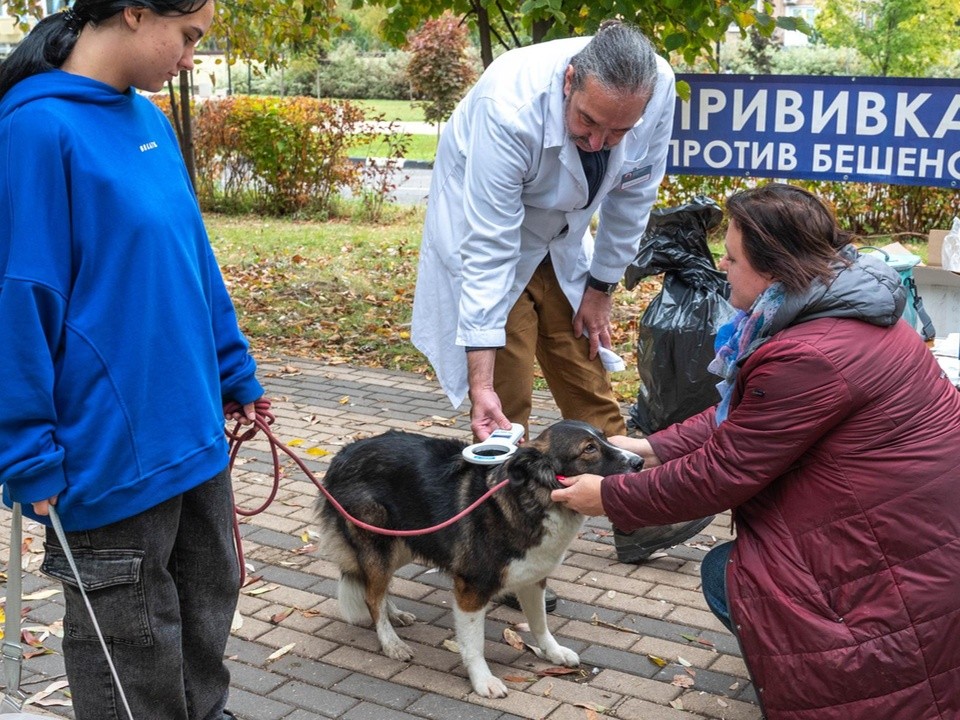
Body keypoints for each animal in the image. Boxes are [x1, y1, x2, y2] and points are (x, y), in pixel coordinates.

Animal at [316, 422, 644, 696]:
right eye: (589, 448)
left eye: (604, 437)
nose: (640, 462)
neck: (529, 499)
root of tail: (343, 454)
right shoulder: (470, 589)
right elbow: (474, 644)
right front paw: (483, 680)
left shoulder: (533, 578)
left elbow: (540, 623)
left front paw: (553, 653)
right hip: (380, 544)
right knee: (371, 595)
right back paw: (390, 641)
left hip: (406, 541)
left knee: (377, 589)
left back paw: (394, 614)